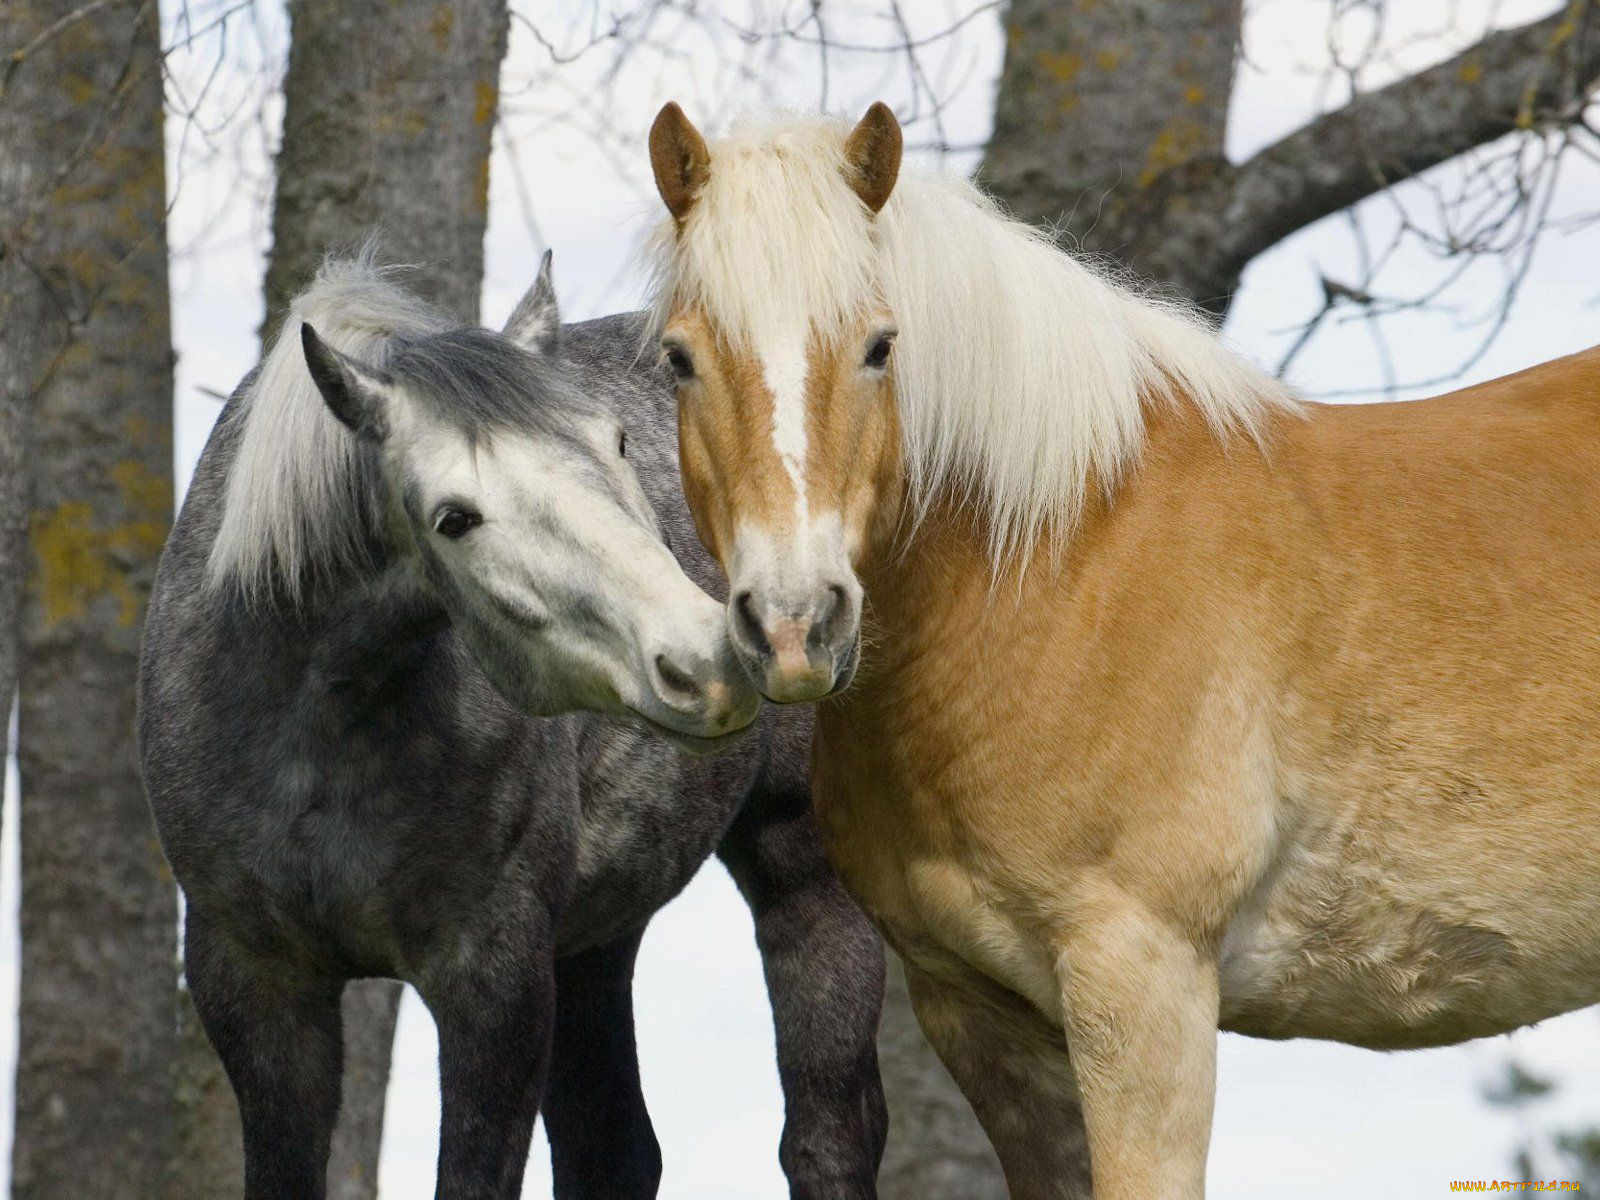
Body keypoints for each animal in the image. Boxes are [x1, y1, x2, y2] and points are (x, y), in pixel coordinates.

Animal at [137, 256, 889, 1200]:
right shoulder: (256, 985)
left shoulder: (492, 980)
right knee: (614, 1147)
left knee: (827, 1138)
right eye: (454, 518)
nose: (710, 661)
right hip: (596, 936)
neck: (317, 727)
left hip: (804, 875)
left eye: (617, 444)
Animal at [643, 98, 1600, 1196]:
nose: (796, 622)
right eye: (679, 359)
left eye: (880, 346)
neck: (1059, 565)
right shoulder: (981, 1016)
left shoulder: (1141, 983)